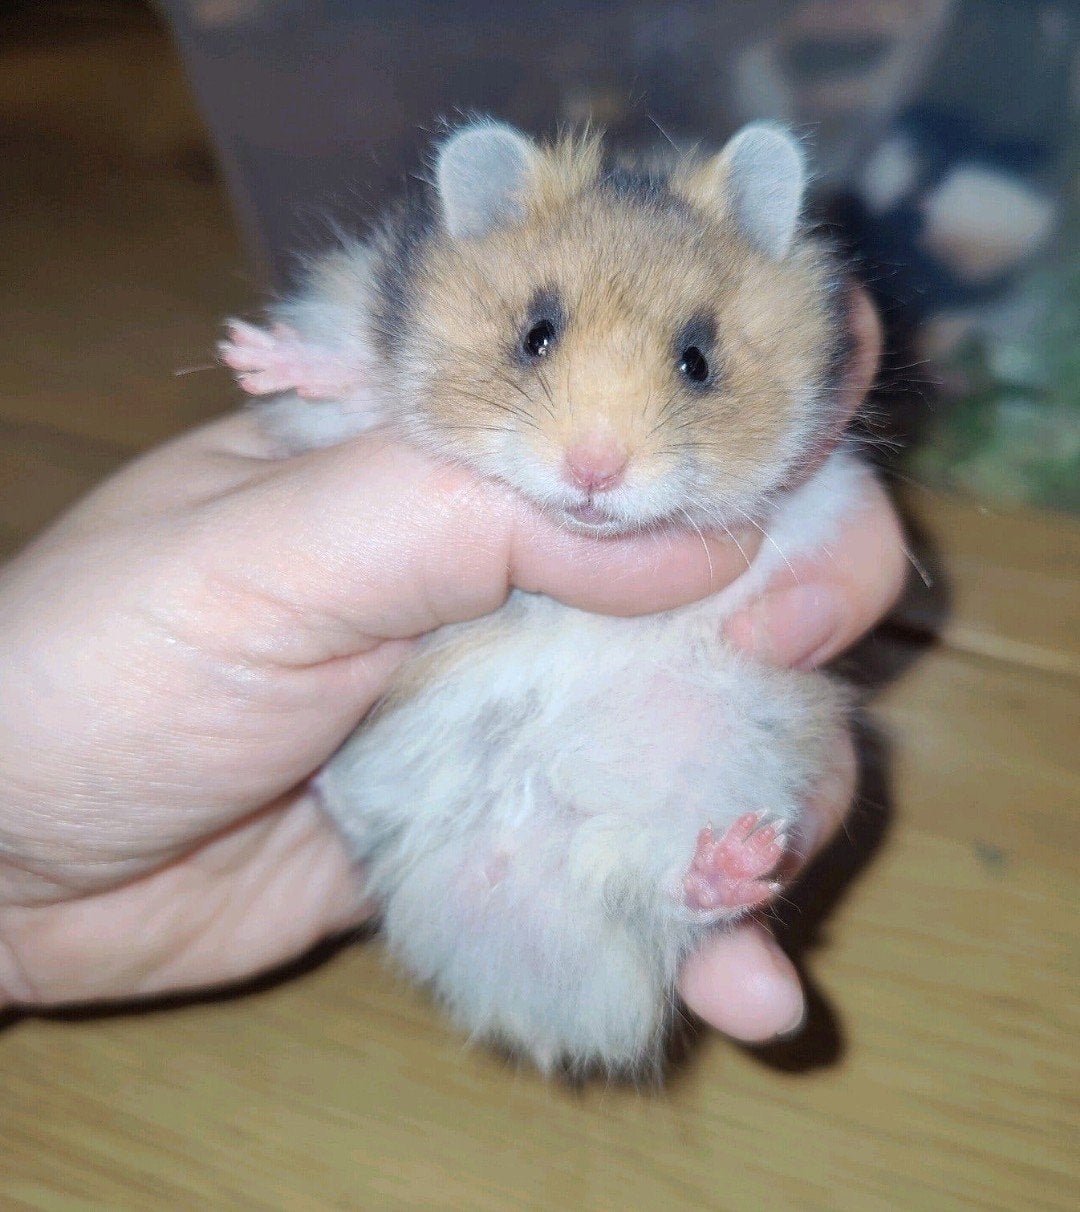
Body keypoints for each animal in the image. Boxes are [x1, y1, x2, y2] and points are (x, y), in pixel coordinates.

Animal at [220, 120, 868, 1076]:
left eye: (698, 360)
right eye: (535, 334)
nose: (593, 472)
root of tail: (508, 853)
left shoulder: (813, 504)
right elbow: (361, 391)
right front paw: (255, 354)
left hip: (710, 761)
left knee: (657, 889)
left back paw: (738, 859)